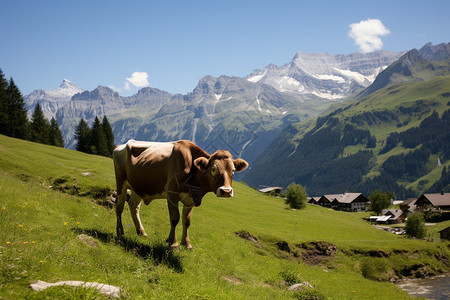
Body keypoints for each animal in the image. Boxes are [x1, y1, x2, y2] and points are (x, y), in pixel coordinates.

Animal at [112, 139, 250, 250]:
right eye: (213, 169)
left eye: (233, 170)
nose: (226, 191)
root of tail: (121, 145)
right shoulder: (171, 193)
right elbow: (175, 218)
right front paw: (173, 244)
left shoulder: (192, 198)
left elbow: (187, 221)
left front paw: (186, 244)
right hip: (121, 181)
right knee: (119, 207)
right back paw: (120, 232)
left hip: (138, 187)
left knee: (133, 206)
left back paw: (141, 231)